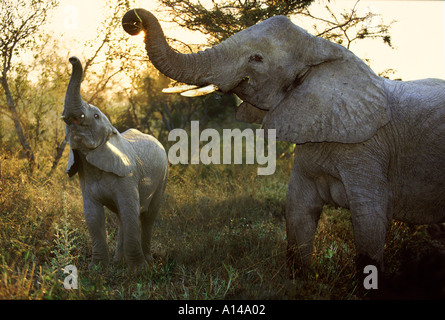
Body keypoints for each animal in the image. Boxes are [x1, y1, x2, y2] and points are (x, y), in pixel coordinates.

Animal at [61, 57, 167, 272]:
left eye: (95, 116)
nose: (72, 59)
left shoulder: (128, 177)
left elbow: (130, 212)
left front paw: (139, 271)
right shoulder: (85, 177)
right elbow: (92, 215)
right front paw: (97, 270)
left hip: (163, 177)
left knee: (149, 217)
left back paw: (149, 261)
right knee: (121, 218)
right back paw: (119, 261)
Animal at [120, 9, 444, 276]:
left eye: (257, 58)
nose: (133, 20)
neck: (319, 48)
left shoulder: (370, 149)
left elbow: (369, 219)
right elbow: (298, 210)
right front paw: (300, 280)